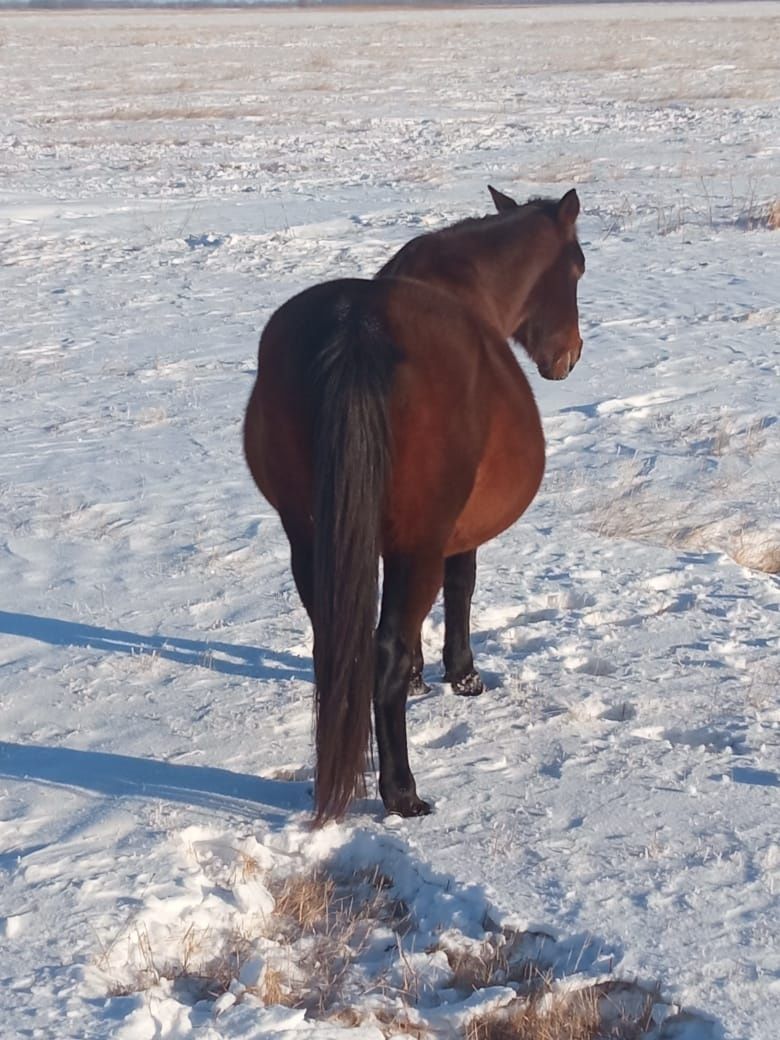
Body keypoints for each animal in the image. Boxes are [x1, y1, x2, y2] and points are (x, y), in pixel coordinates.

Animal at [244, 185, 586, 819]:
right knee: (384, 655)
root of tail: (358, 328)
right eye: (577, 266)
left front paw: (427, 676)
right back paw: (402, 792)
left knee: (336, 644)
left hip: (308, 538)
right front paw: (463, 675)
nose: (568, 357)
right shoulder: (453, 537)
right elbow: (461, 588)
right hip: (418, 545)